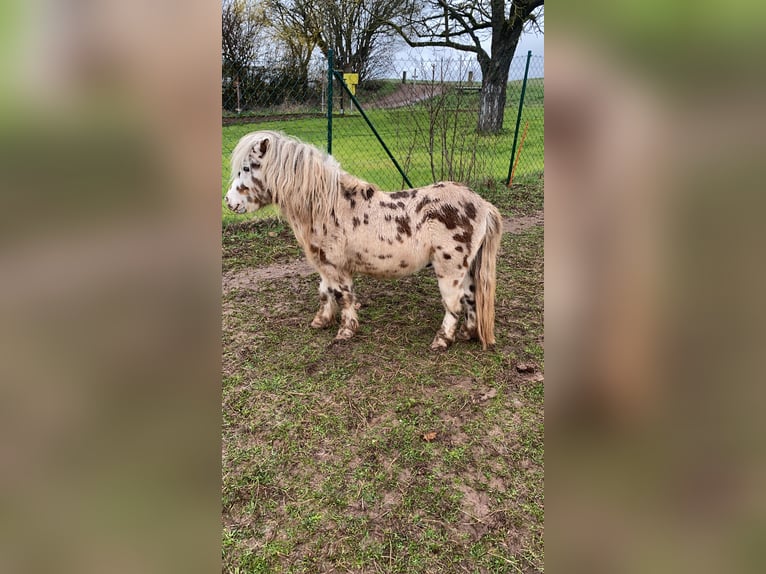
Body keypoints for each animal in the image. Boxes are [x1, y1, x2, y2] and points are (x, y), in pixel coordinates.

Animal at [226, 130, 504, 352]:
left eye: (248, 168)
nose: (229, 202)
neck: (329, 205)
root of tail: (482, 204)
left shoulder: (337, 267)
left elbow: (345, 297)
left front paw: (346, 331)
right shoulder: (325, 265)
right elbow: (325, 292)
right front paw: (321, 321)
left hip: (450, 270)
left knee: (454, 304)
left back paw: (442, 340)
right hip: (466, 269)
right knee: (471, 298)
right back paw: (467, 333)